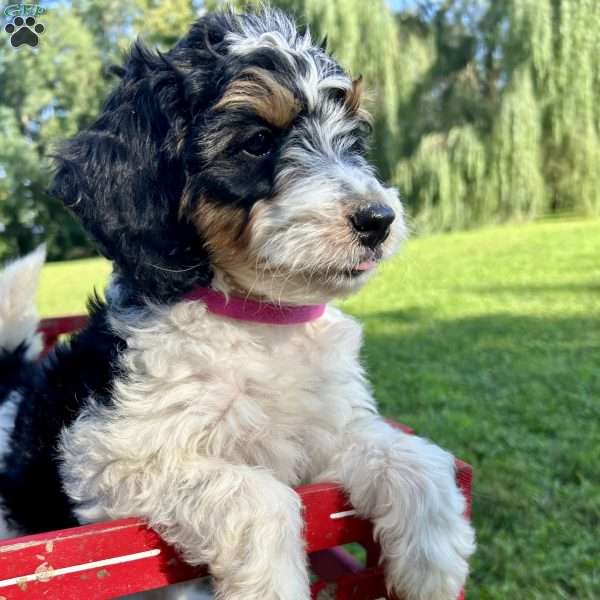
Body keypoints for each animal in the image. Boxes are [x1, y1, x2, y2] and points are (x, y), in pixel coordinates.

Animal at [0, 9, 474, 600]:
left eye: (353, 139)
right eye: (256, 141)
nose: (378, 219)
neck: (261, 316)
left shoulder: (327, 433)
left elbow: (407, 453)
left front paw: (436, 566)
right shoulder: (107, 451)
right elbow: (258, 496)